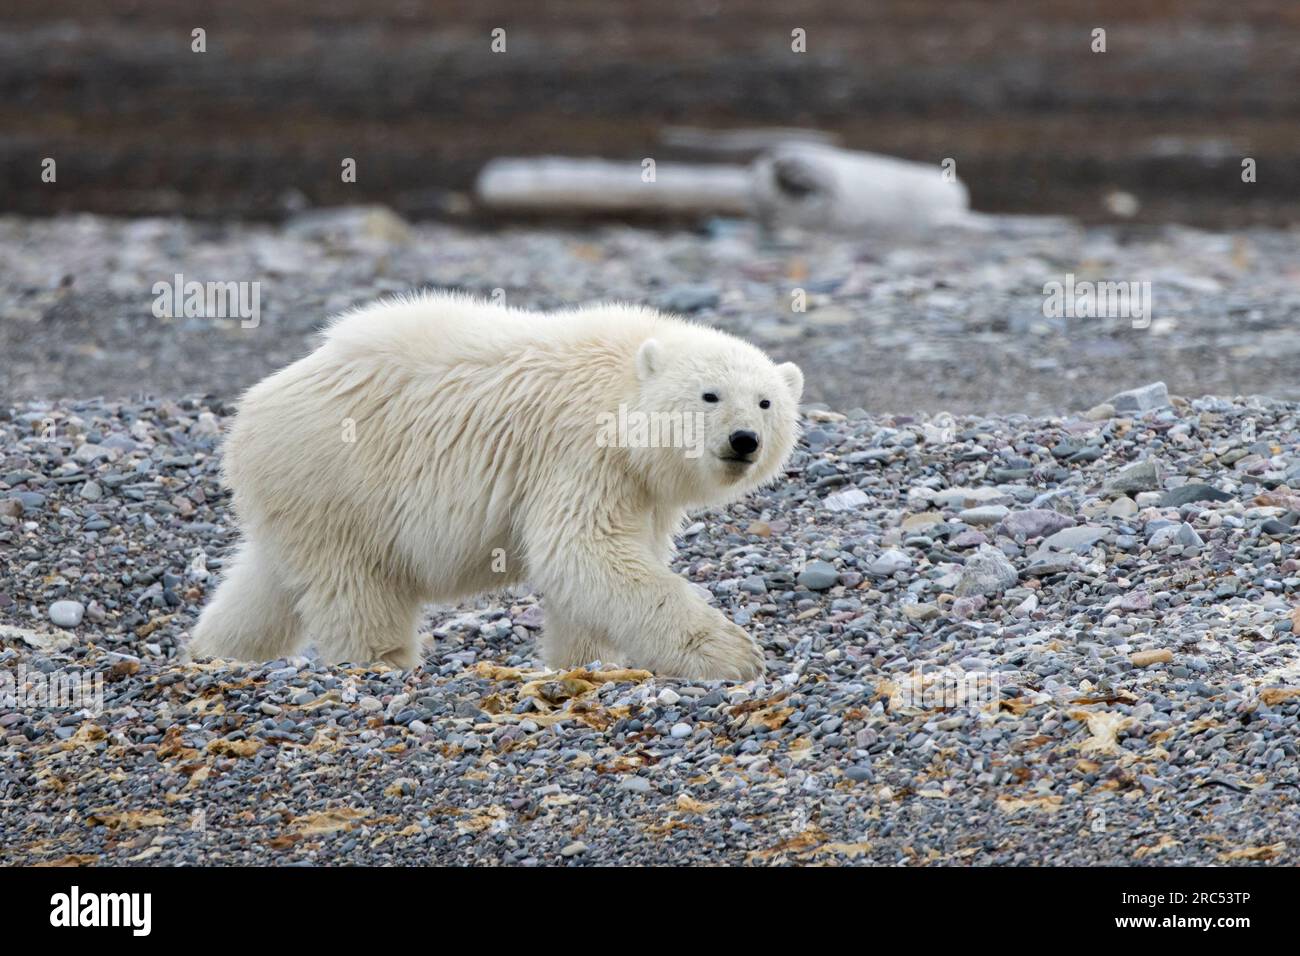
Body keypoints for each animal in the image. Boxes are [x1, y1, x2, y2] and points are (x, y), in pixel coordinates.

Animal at [189, 293, 800, 681]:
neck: (620, 386)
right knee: (356, 588)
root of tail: (251, 410)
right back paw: (385, 661)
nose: (744, 440)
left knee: (265, 583)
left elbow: (598, 572)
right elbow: (585, 551)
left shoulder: (640, 485)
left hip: (299, 496)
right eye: (710, 395)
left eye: (766, 402)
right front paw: (733, 654)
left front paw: (583, 661)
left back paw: (213, 652)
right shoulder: (580, 453)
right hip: (339, 479)